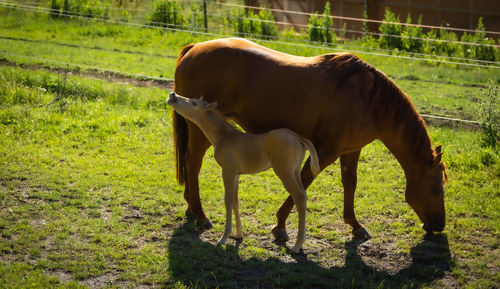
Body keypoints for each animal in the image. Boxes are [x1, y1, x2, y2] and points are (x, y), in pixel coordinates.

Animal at [166, 92, 318, 252]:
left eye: (194, 103)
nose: (172, 95)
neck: (224, 137)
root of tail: (298, 138)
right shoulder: (236, 175)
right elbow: (235, 201)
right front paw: (238, 235)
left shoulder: (228, 171)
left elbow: (228, 200)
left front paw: (224, 238)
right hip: (295, 171)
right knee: (304, 196)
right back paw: (301, 241)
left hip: (285, 172)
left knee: (299, 197)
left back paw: (297, 245)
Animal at [171, 37, 446, 238]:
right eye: (436, 189)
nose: (439, 225)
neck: (367, 99)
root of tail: (195, 47)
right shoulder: (325, 151)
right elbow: (304, 180)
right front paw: (280, 225)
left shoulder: (350, 150)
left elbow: (350, 183)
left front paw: (355, 225)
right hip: (199, 130)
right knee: (192, 164)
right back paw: (200, 214)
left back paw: (190, 207)